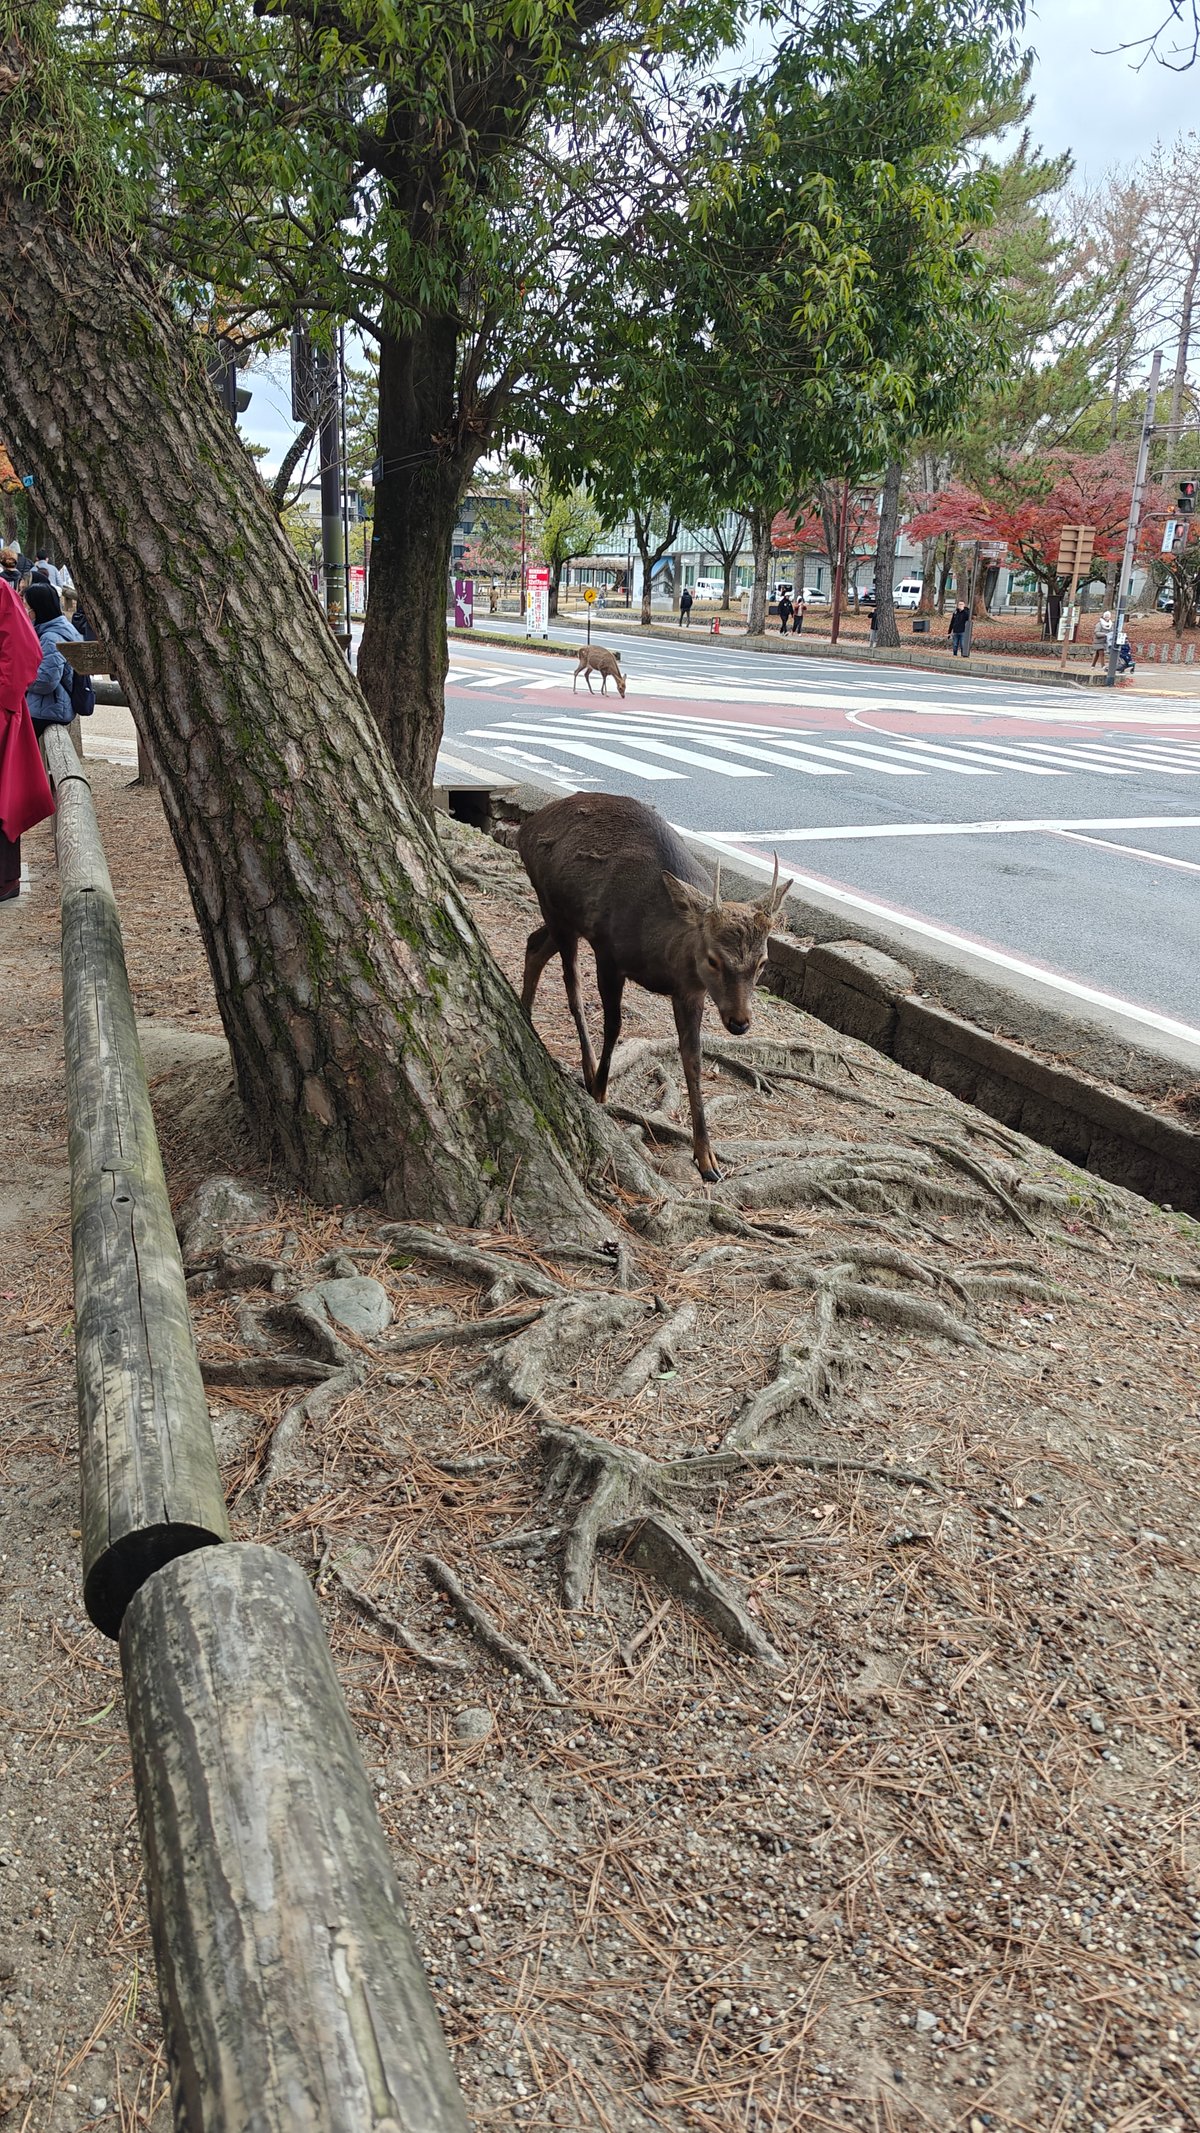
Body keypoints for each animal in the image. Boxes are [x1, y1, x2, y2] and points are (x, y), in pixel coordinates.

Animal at [517, 793, 792, 1182]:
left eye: (763, 962)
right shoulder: (609, 954)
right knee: (571, 987)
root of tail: (526, 829)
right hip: (554, 904)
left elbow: (692, 1058)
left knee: (534, 944)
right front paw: (601, 1092)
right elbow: (614, 1025)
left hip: (562, 920)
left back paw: (528, 1016)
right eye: (713, 959)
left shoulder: (689, 991)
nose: (739, 1022)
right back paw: (584, 1067)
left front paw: (707, 1158)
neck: (661, 954)